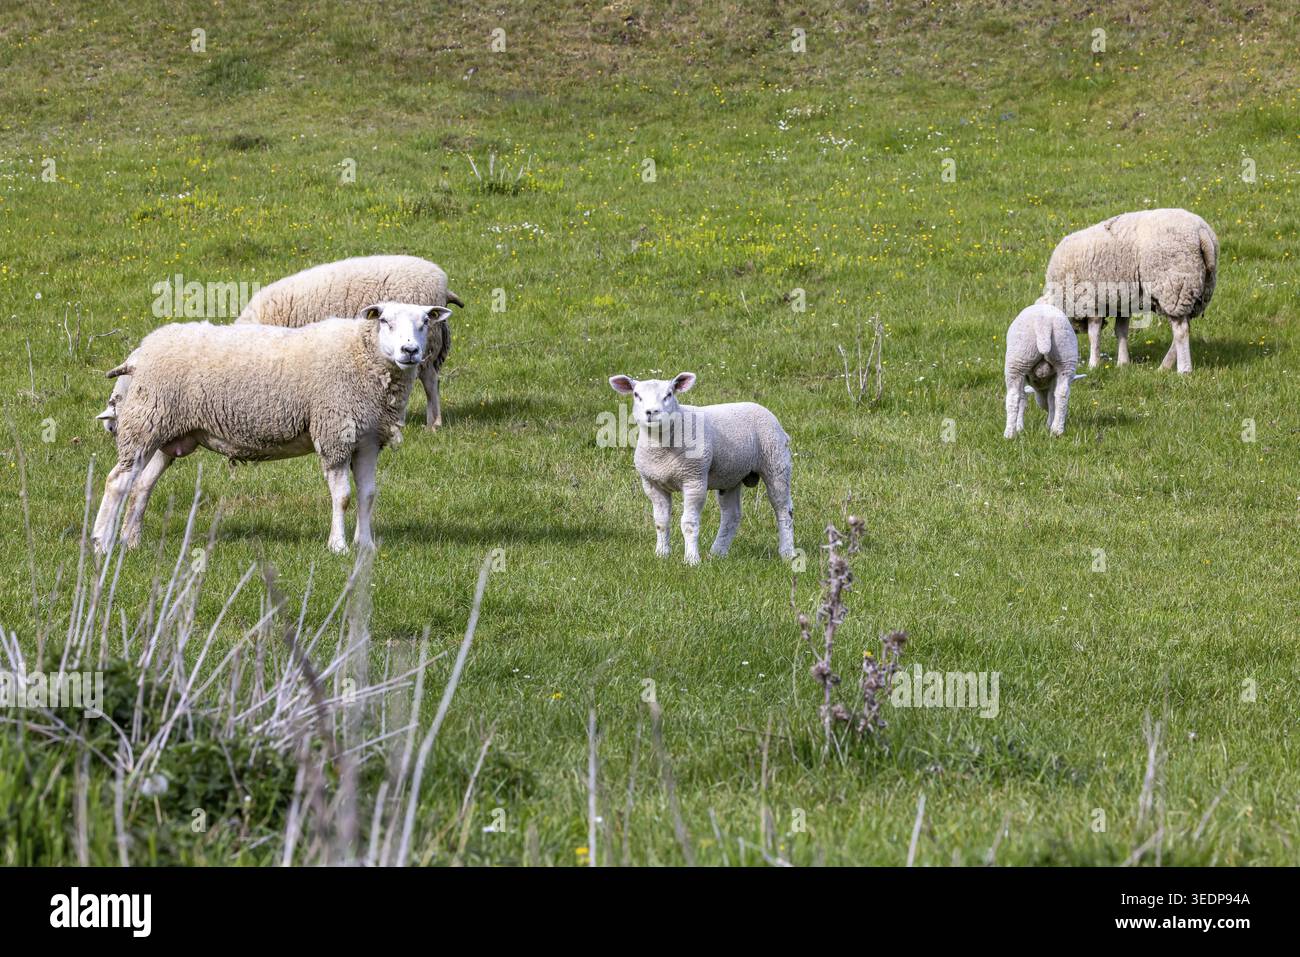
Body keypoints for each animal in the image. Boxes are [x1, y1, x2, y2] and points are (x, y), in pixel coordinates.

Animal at [91, 302, 451, 555]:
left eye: (425, 322)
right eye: (385, 321)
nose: (410, 351)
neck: (363, 356)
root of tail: (140, 352)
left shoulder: (367, 438)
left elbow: (368, 494)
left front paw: (366, 546)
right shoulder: (334, 432)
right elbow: (344, 496)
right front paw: (338, 546)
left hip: (167, 434)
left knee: (141, 485)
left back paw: (130, 541)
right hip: (145, 423)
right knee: (117, 482)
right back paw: (101, 543)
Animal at [607, 372, 794, 565]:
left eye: (669, 394)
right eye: (636, 395)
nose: (652, 412)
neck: (661, 449)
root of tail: (760, 407)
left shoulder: (694, 479)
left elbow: (689, 523)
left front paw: (691, 560)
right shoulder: (653, 484)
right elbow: (661, 522)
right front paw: (661, 554)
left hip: (776, 462)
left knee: (784, 510)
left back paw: (787, 553)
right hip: (730, 475)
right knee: (732, 515)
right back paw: (718, 552)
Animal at [1004, 303, 1080, 438]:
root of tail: (1044, 322)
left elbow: (1022, 399)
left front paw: (1019, 427)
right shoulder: (1053, 377)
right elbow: (1051, 400)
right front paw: (1050, 424)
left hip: (1018, 359)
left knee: (1013, 397)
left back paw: (1009, 433)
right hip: (1066, 356)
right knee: (1062, 394)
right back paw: (1057, 430)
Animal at [1042, 208, 1218, 373]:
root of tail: (1201, 232)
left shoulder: (1091, 301)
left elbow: (1094, 335)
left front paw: (1093, 364)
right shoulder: (1122, 302)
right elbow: (1121, 331)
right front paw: (1123, 363)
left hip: (1174, 287)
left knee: (1181, 331)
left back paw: (1183, 370)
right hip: (1195, 290)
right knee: (1184, 328)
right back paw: (1164, 367)